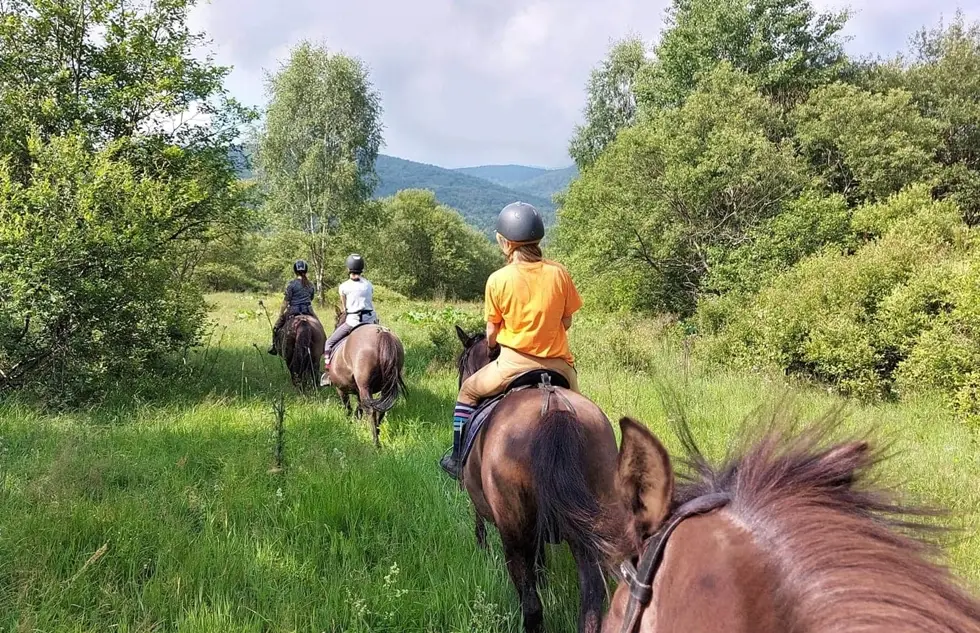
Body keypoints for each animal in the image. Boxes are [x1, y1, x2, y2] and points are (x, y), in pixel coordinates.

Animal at [328, 306, 408, 444]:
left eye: (335, 322)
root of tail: (381, 333)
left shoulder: (341, 389)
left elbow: (348, 407)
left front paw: (349, 422)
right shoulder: (358, 390)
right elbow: (359, 406)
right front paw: (357, 418)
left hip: (364, 386)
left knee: (372, 411)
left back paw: (375, 441)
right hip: (385, 386)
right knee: (381, 410)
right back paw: (378, 431)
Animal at [456, 328, 624, 632]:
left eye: (461, 363)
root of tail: (555, 409)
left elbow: (479, 524)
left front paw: (481, 549)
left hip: (514, 531)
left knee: (531, 602)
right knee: (592, 600)